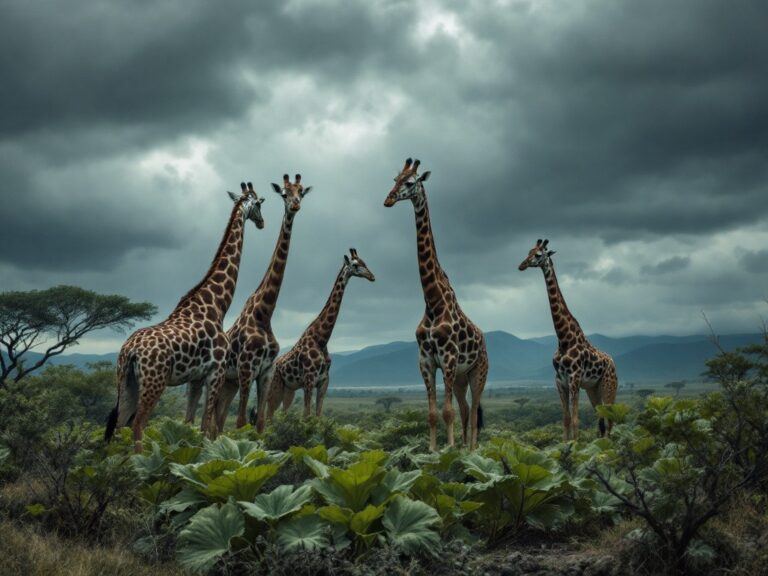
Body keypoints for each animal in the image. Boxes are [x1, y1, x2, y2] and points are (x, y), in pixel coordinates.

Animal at [104, 182, 268, 452]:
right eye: (258, 204)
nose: (262, 223)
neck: (217, 305)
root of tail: (131, 351)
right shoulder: (216, 372)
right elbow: (204, 425)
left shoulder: (196, 379)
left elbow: (189, 423)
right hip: (155, 381)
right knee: (138, 423)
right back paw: (138, 461)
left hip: (125, 381)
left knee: (119, 425)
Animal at [192, 176, 316, 432]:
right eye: (284, 194)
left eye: (301, 192)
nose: (295, 205)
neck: (264, 313)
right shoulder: (246, 369)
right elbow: (240, 421)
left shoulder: (266, 371)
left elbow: (259, 422)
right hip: (222, 379)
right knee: (212, 422)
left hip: (228, 383)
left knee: (218, 421)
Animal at [268, 250, 376, 420]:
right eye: (355, 265)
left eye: (365, 262)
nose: (372, 276)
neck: (321, 339)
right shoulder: (309, 380)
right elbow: (307, 415)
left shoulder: (324, 381)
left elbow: (318, 415)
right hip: (276, 385)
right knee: (268, 414)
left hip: (289, 389)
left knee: (282, 412)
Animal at [382, 158, 486, 450]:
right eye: (394, 179)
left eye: (409, 182)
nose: (388, 199)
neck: (432, 301)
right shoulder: (426, 360)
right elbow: (432, 413)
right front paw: (433, 450)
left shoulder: (448, 358)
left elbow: (447, 411)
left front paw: (448, 450)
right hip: (461, 377)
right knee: (465, 409)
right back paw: (464, 447)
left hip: (478, 372)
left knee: (474, 410)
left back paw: (472, 449)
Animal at [516, 238, 616, 440]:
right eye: (528, 251)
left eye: (538, 254)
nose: (521, 265)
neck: (563, 338)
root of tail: (614, 363)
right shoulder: (559, 381)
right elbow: (566, 419)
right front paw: (566, 445)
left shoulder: (574, 379)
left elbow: (576, 420)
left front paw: (576, 445)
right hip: (594, 389)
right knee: (601, 419)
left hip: (609, 385)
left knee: (610, 420)